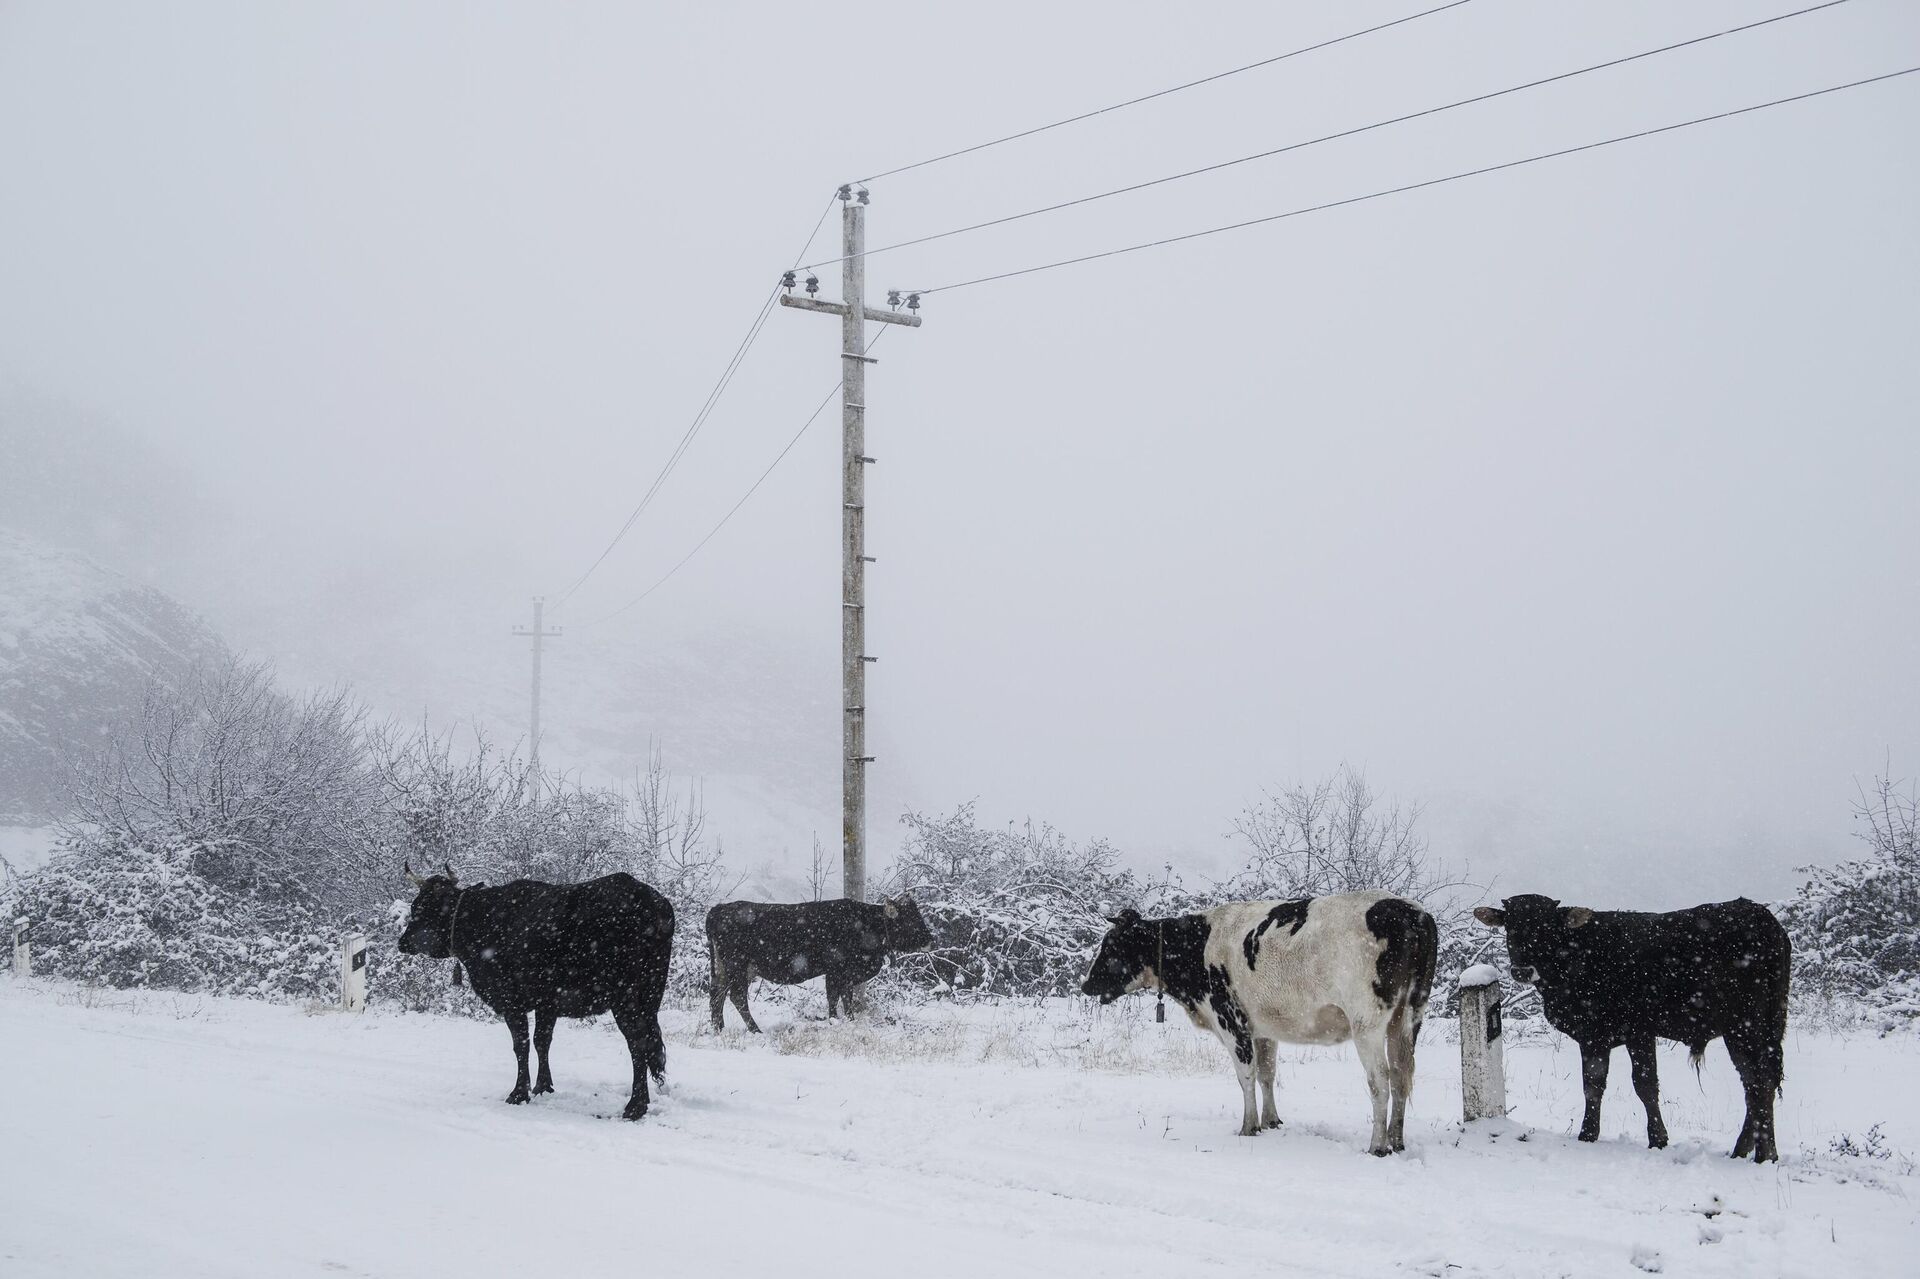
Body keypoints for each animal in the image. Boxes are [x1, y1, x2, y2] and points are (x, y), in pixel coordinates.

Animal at [393, 856, 679, 1113]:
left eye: (422, 907)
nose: (402, 942)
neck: (483, 922)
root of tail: (652, 900)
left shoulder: (511, 1000)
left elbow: (521, 1044)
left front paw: (519, 1093)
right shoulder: (547, 1002)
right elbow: (543, 1040)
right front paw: (543, 1087)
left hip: (626, 997)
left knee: (637, 1042)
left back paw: (635, 1105)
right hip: (651, 995)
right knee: (650, 1041)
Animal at [714, 891, 936, 1029]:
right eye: (910, 919)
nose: (930, 940)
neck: (865, 926)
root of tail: (720, 908)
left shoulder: (843, 974)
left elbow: (842, 997)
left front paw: (845, 1020)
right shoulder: (837, 970)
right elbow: (836, 997)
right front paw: (837, 1021)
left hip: (727, 968)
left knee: (717, 994)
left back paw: (719, 1029)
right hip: (737, 967)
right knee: (737, 997)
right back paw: (755, 1031)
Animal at [1474, 894, 1789, 1152]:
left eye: (1548, 928)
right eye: (1511, 926)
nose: (1522, 970)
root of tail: (1760, 915)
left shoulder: (1638, 1030)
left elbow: (1644, 1084)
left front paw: (1657, 1139)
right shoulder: (1593, 1036)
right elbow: (1593, 1084)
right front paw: (1588, 1134)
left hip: (1746, 1025)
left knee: (1760, 1082)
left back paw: (1764, 1154)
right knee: (1755, 1082)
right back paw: (1744, 1149)